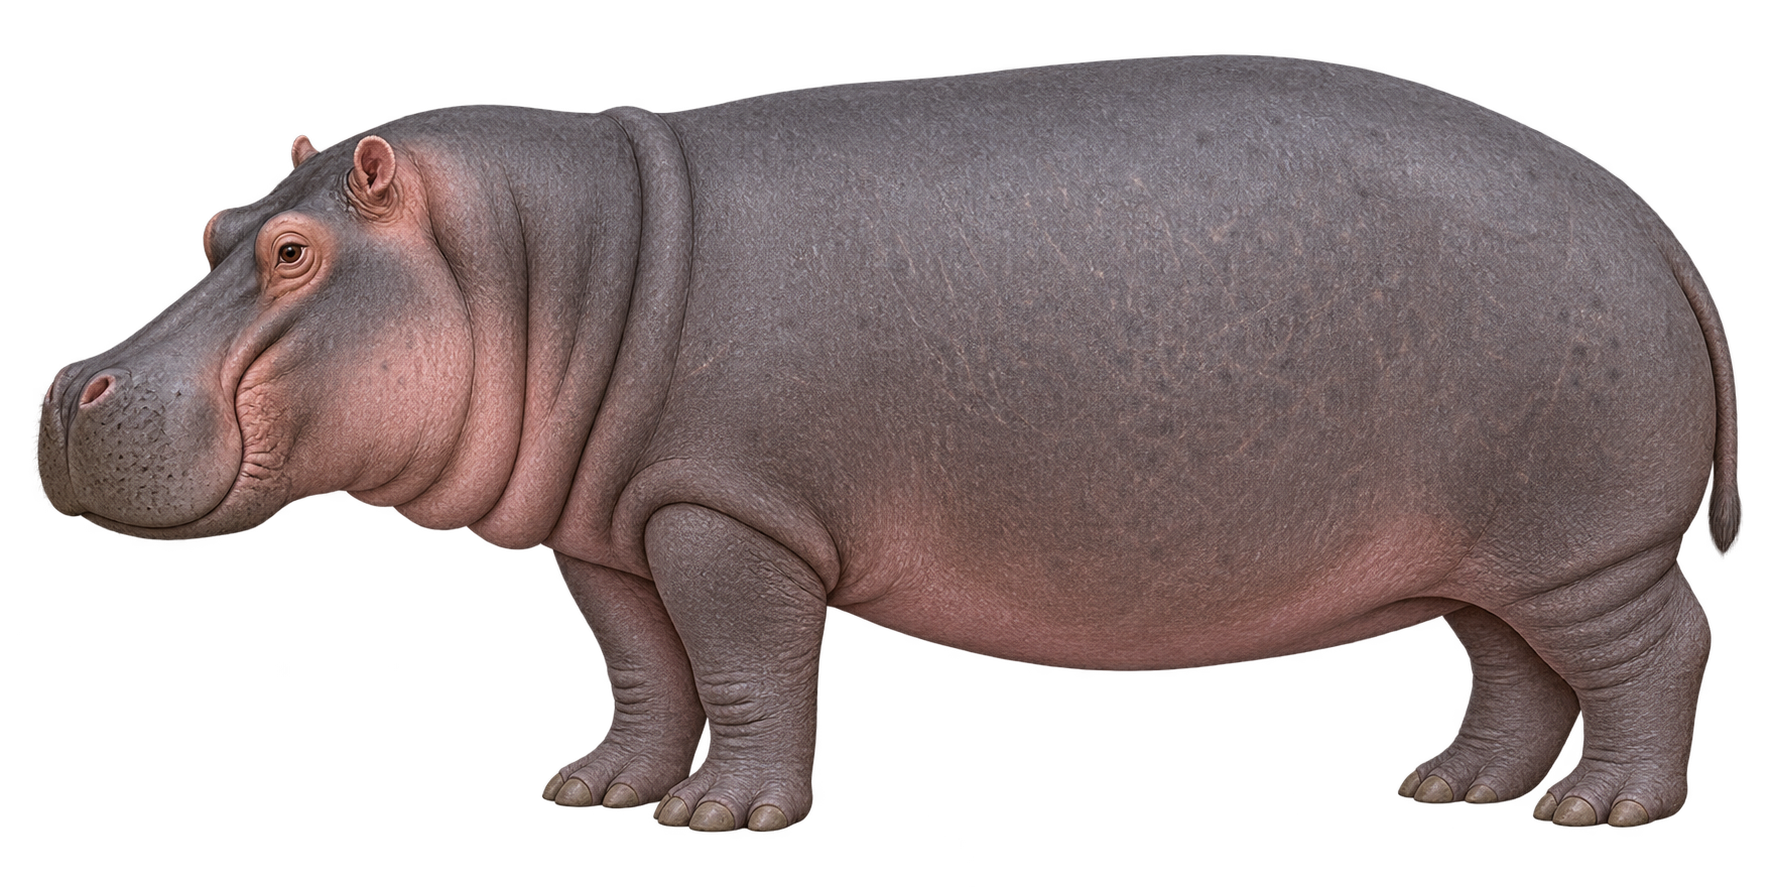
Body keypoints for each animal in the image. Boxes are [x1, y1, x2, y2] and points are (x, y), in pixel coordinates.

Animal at [32, 56, 1737, 832]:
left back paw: (1602, 810)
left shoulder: (729, 516)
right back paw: (1454, 786)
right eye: (213, 224)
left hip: (1577, 536)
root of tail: (1650, 220)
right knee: (1509, 668)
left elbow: (740, 671)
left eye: (294, 256)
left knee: (1657, 649)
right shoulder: (613, 534)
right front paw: (599, 784)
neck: (548, 260)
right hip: (1485, 550)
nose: (64, 389)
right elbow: (641, 671)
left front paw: (720, 814)